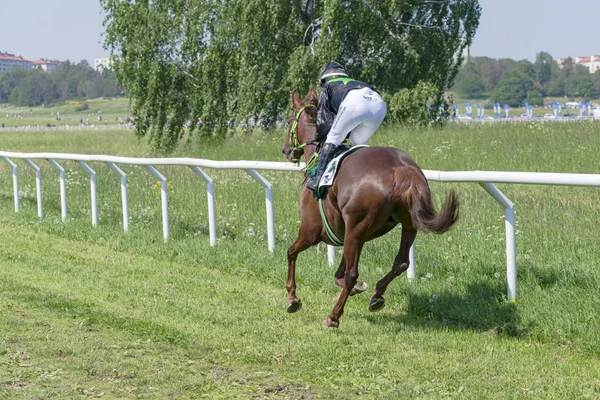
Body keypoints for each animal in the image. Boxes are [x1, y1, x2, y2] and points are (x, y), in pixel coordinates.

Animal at [282, 90, 460, 328]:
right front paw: (356, 287)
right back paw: (377, 295)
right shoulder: (351, 233)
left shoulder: (311, 231)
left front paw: (292, 298)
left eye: (289, 120)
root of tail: (402, 169)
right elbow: (341, 268)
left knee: (352, 273)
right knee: (401, 262)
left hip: (356, 225)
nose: (286, 149)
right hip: (407, 223)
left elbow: (291, 252)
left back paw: (333, 317)